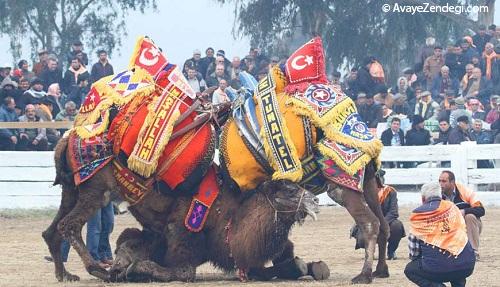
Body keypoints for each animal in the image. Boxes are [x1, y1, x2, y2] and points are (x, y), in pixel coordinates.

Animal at [106, 180, 324, 284]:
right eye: (290, 190)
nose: (316, 200)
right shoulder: (182, 233)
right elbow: (185, 272)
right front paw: (135, 269)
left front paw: (312, 267)